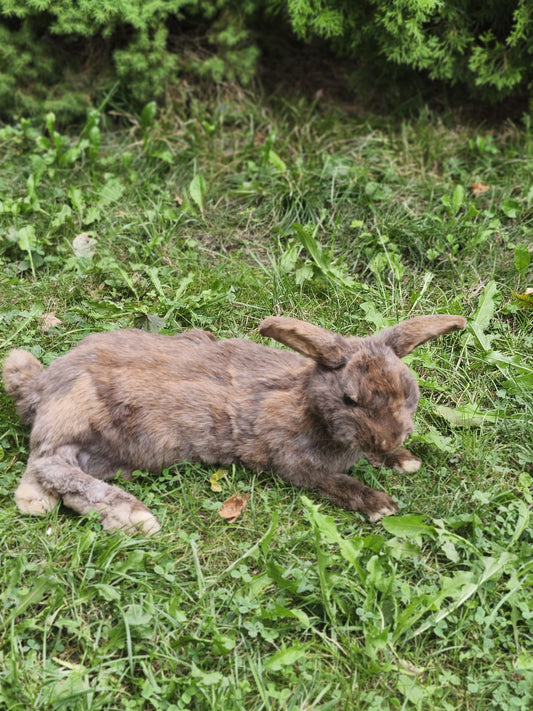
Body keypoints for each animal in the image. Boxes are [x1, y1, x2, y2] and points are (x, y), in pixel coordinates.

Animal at [3, 314, 466, 534]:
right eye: (351, 399)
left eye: (408, 390)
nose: (389, 439)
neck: (306, 404)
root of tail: (44, 384)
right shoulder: (296, 465)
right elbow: (338, 483)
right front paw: (380, 504)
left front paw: (405, 461)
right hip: (81, 415)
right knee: (48, 461)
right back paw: (132, 516)